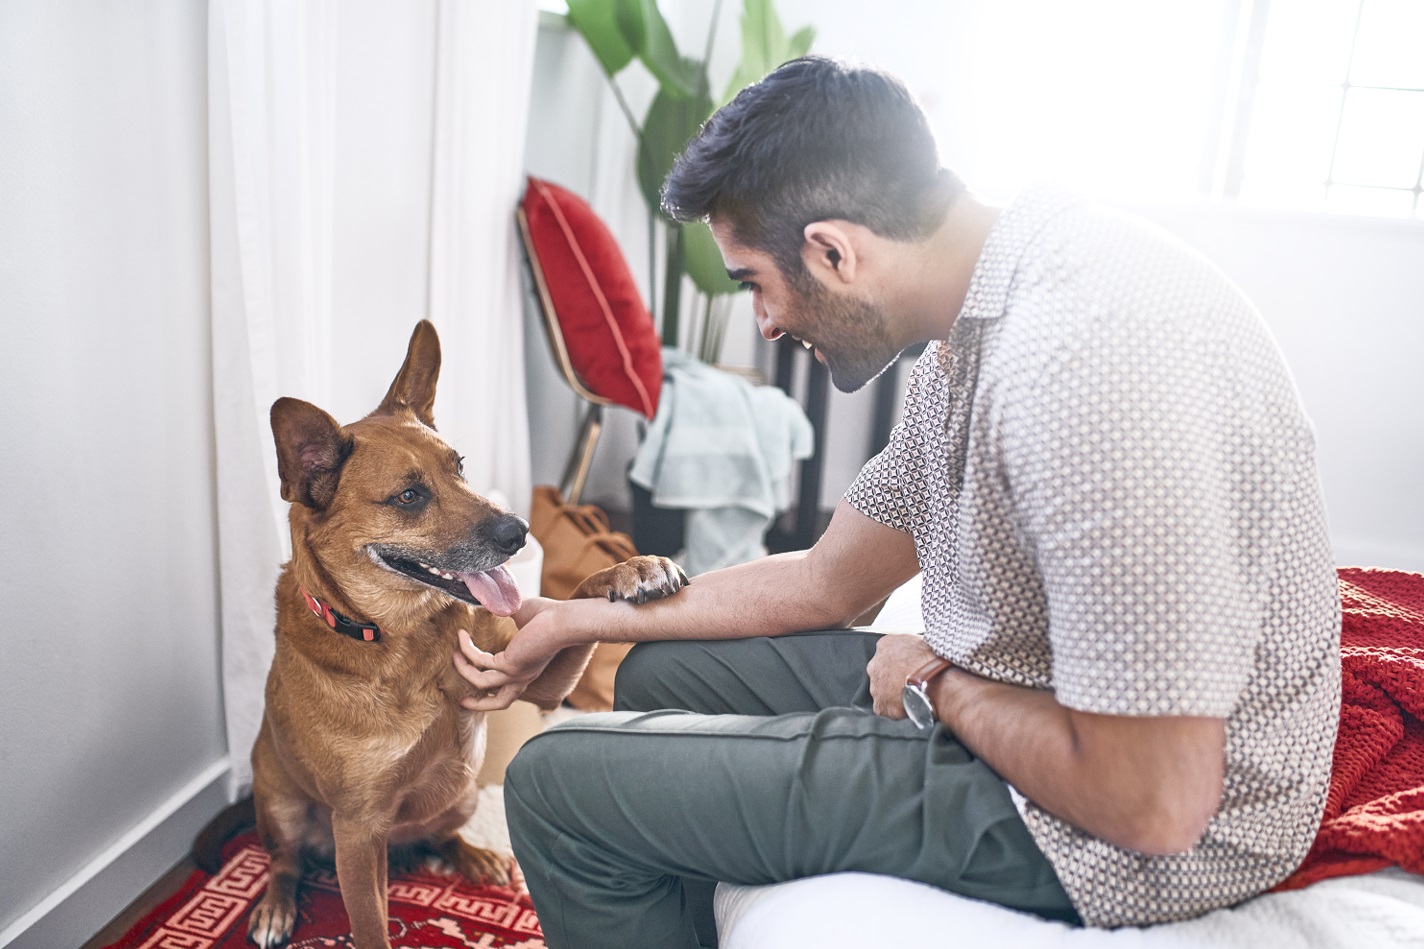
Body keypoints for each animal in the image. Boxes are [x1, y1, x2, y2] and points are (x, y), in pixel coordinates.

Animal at [247, 319, 686, 946]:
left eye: (459, 467)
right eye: (409, 496)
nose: (520, 532)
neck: (404, 639)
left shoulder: (540, 684)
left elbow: (573, 601)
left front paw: (633, 569)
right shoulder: (358, 830)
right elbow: (370, 927)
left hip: (463, 789)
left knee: (441, 834)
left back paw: (475, 857)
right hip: (282, 804)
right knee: (285, 860)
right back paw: (275, 908)